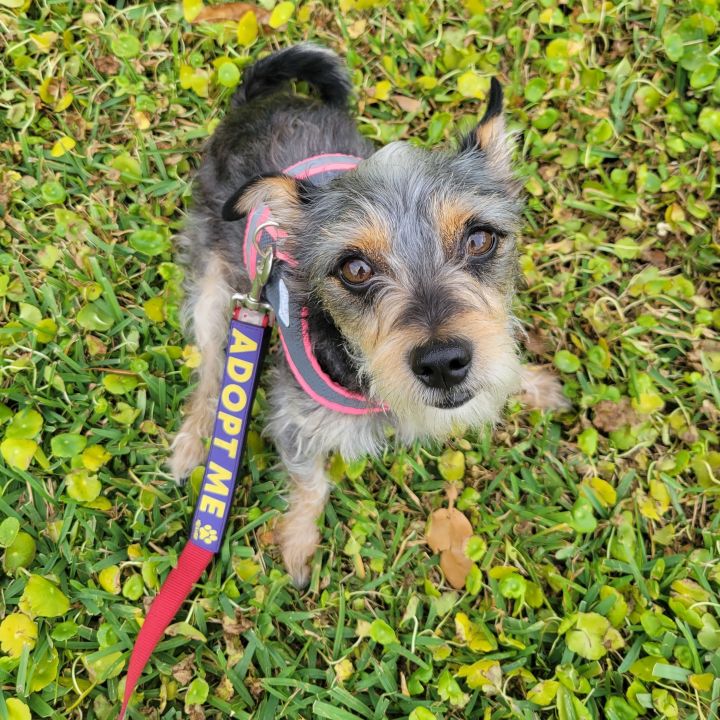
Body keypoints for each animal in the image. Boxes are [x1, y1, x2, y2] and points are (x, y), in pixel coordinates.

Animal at [170, 43, 568, 584]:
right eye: (355, 268)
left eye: (481, 239)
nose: (442, 363)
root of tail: (256, 99)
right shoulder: (294, 421)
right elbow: (311, 484)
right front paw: (298, 544)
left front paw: (531, 384)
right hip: (216, 287)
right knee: (212, 368)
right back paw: (192, 445)